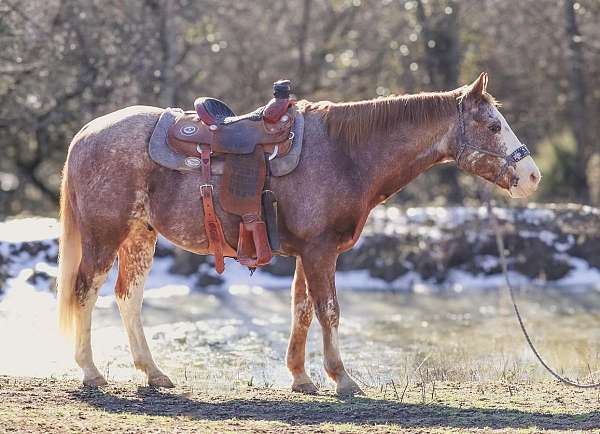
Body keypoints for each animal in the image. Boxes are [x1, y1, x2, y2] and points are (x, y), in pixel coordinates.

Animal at [56, 73, 540, 396]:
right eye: (493, 126)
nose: (532, 176)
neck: (345, 154)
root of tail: (86, 132)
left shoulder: (310, 253)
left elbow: (302, 310)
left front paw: (302, 377)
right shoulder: (322, 252)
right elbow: (329, 311)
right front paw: (342, 378)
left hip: (140, 236)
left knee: (128, 297)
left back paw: (153, 372)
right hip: (104, 236)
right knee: (85, 290)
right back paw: (90, 371)